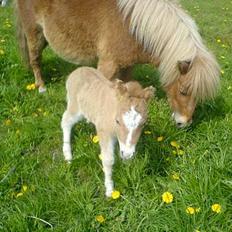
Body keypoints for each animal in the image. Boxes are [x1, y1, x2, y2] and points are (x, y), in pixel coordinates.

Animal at [15, 0, 220, 127]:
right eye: (184, 91)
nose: (183, 123)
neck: (131, 26)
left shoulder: (127, 66)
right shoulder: (107, 65)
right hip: (34, 33)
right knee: (35, 60)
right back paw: (41, 86)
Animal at [61, 66, 154, 196]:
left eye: (143, 123)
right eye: (117, 121)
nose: (127, 154)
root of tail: (77, 70)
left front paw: (128, 172)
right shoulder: (104, 132)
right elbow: (108, 159)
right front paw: (110, 190)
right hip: (75, 107)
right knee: (66, 121)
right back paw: (68, 155)